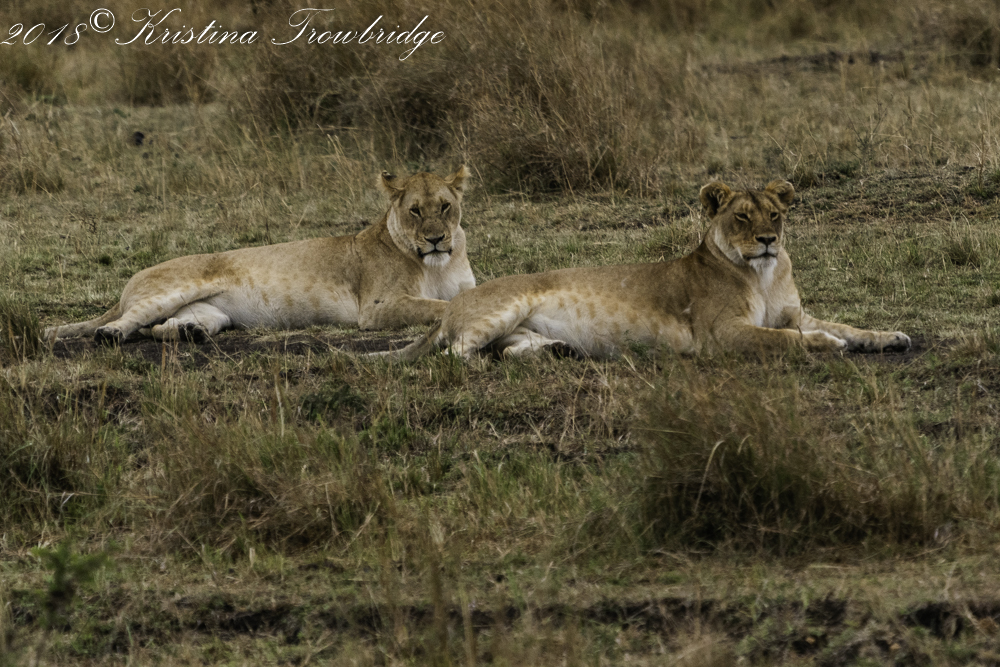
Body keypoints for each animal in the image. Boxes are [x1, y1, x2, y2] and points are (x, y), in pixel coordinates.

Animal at [44, 166, 475, 343]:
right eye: (415, 211)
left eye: (445, 207)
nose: (436, 239)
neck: (437, 266)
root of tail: (129, 283)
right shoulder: (376, 307)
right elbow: (438, 306)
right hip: (171, 289)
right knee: (133, 320)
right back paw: (110, 334)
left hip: (211, 312)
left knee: (161, 327)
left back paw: (189, 333)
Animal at [383, 179, 911, 361]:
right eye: (742, 217)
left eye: (775, 214)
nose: (768, 241)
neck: (762, 272)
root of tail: (452, 305)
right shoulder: (721, 333)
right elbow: (783, 339)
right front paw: (826, 345)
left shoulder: (794, 313)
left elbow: (848, 325)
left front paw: (890, 336)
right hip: (506, 306)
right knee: (455, 353)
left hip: (516, 327)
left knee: (511, 347)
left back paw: (557, 351)